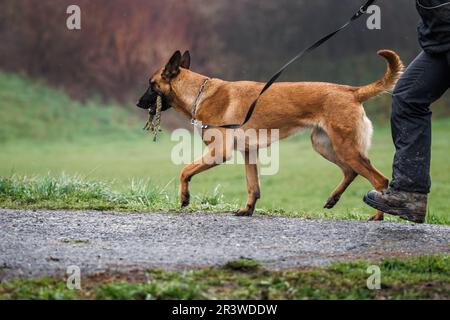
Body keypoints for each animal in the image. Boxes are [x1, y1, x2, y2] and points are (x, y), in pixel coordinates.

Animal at [138, 50, 404, 221]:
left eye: (151, 84)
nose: (138, 103)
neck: (199, 93)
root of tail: (352, 91)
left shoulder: (218, 153)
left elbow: (184, 170)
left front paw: (184, 198)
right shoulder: (248, 153)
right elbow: (252, 186)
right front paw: (247, 210)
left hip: (344, 148)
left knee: (379, 180)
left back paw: (378, 215)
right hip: (324, 145)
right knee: (350, 171)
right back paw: (333, 199)